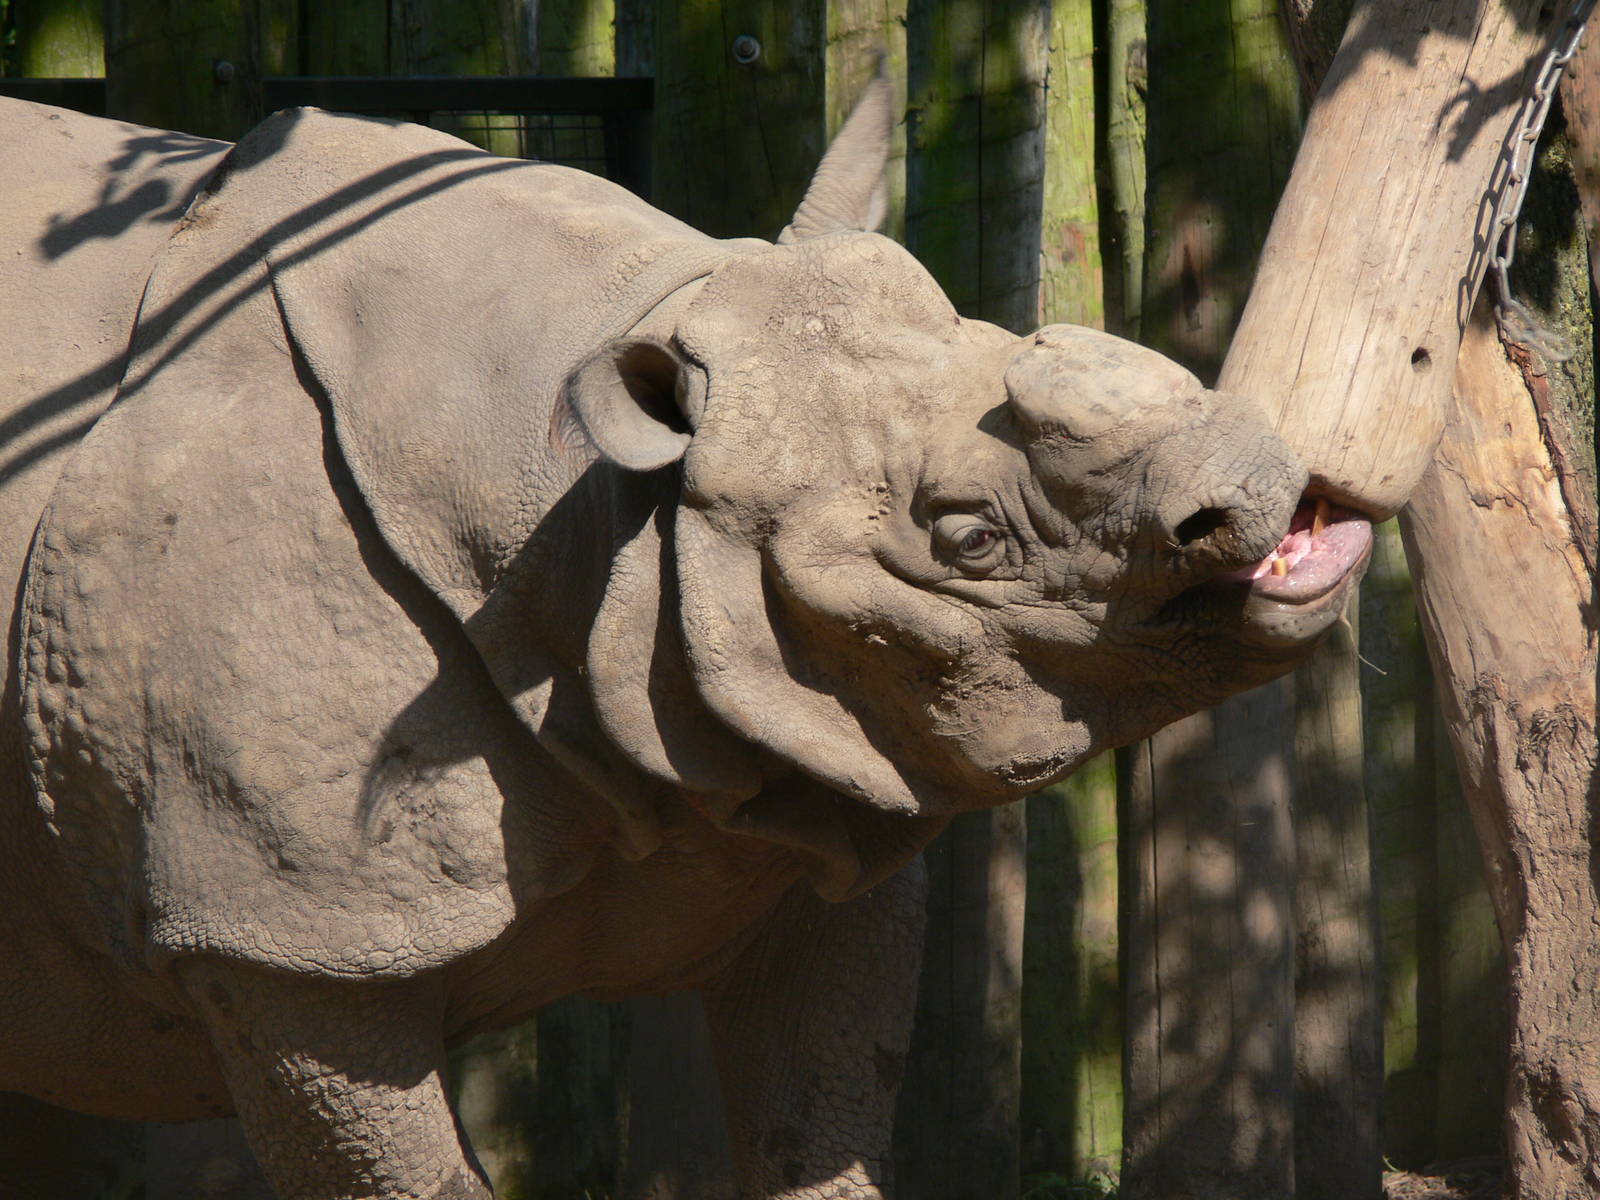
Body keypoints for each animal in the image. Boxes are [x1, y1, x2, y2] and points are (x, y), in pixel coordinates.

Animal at [0, 78, 1371, 1199]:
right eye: (968, 539)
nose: (1255, 479)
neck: (596, 510)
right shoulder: (278, 934)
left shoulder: (823, 800)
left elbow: (816, 1132)